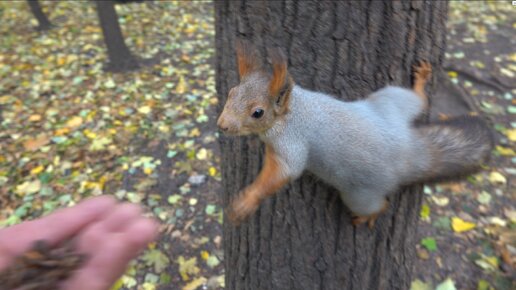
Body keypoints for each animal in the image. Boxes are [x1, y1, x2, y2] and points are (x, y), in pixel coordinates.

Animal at [217, 40, 492, 227]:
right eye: (231, 92)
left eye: (258, 113)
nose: (223, 125)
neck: (293, 112)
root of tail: (408, 153)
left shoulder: (291, 143)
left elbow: (285, 172)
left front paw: (248, 200)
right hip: (390, 102)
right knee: (417, 101)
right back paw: (422, 79)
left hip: (358, 195)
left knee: (380, 205)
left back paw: (368, 216)